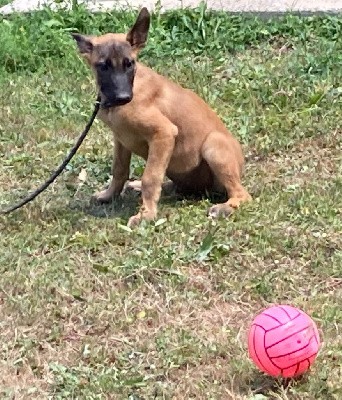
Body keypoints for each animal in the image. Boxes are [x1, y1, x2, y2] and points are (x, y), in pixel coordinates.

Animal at [71, 6, 251, 227]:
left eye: (129, 64)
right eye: (103, 66)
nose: (123, 98)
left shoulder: (163, 133)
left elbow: (151, 177)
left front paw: (146, 214)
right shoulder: (120, 139)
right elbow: (119, 170)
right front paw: (110, 195)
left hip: (213, 145)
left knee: (242, 194)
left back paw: (224, 208)